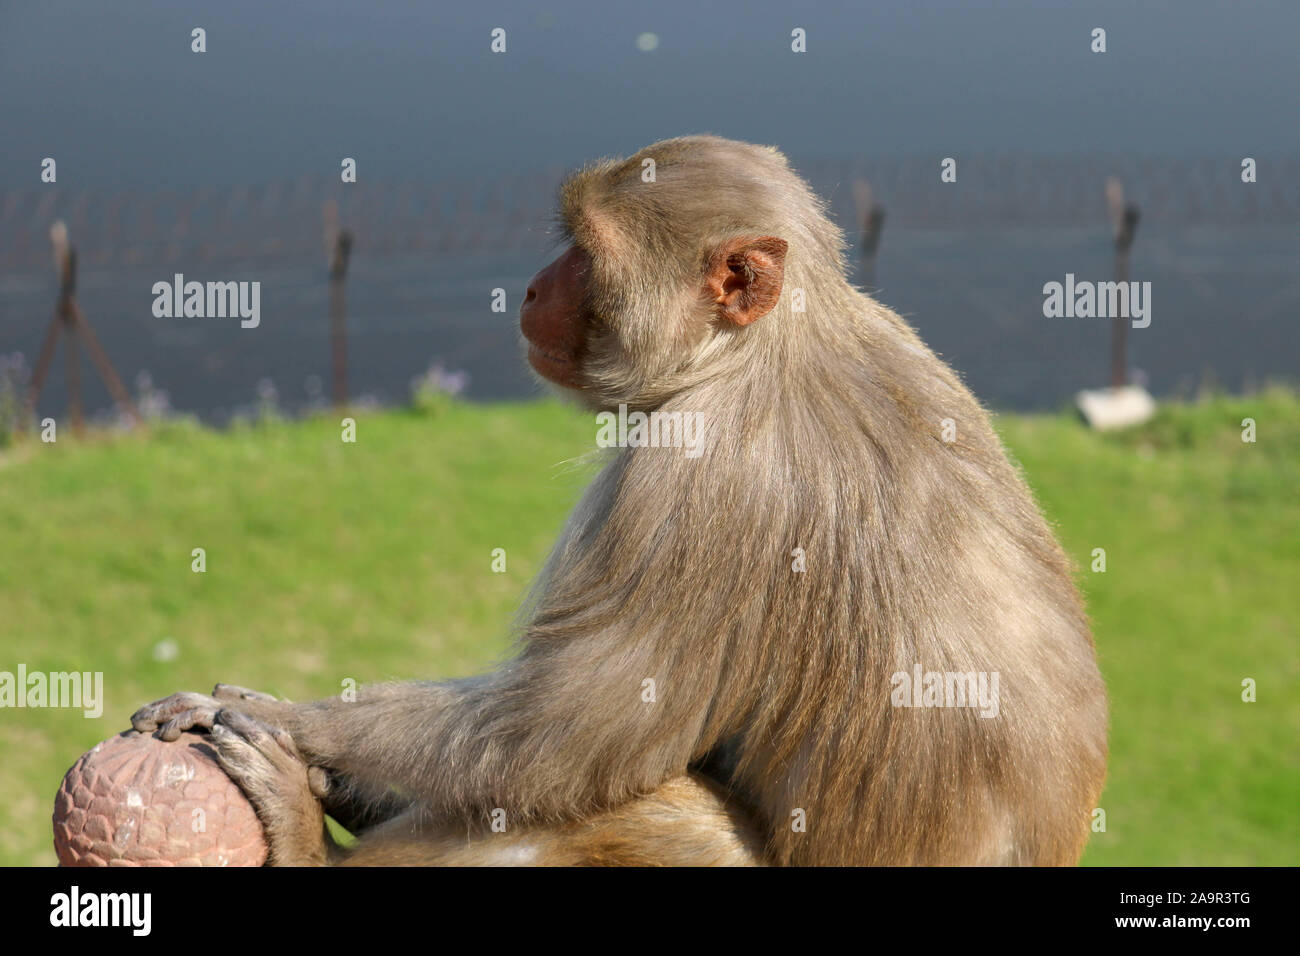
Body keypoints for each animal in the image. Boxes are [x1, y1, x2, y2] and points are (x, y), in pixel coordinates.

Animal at [134, 136, 1107, 868]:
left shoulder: (694, 479)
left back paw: (308, 845)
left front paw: (300, 726)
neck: (758, 348)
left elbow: (560, 736)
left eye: (587, 253)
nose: (531, 285)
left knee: (639, 801)